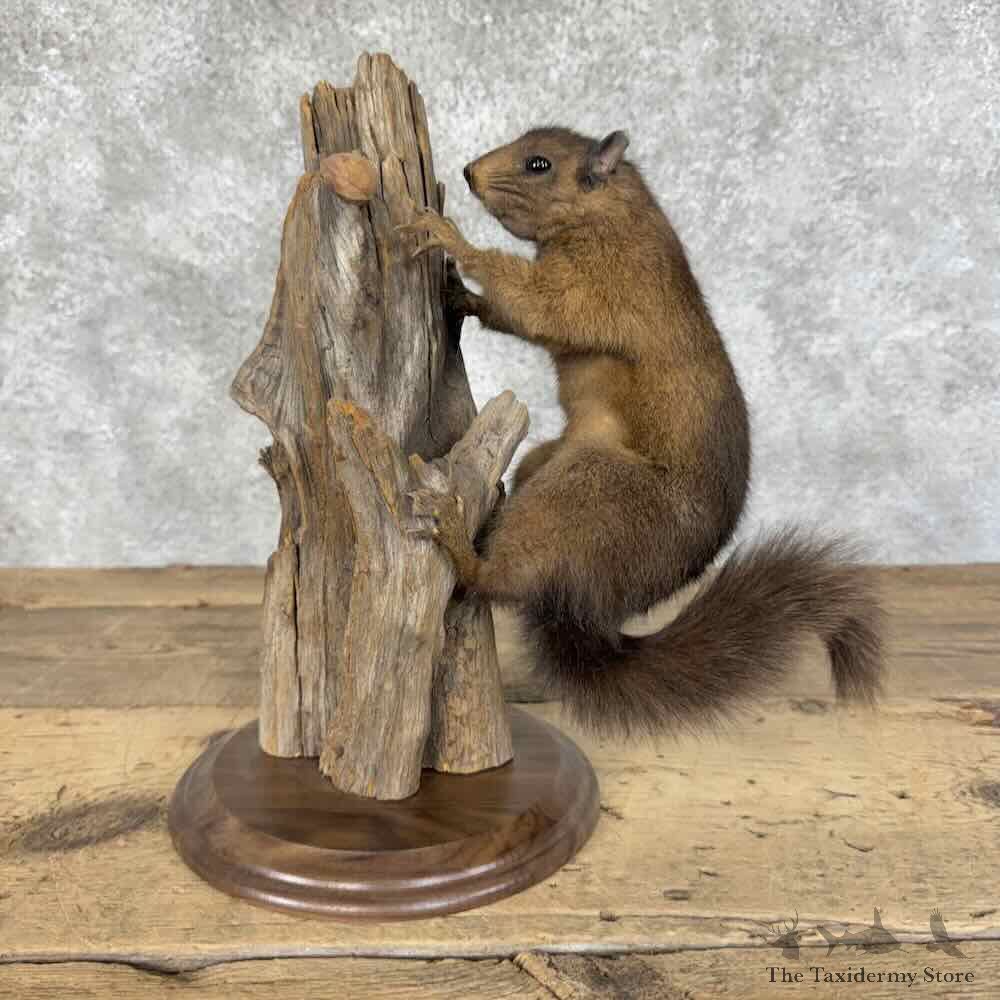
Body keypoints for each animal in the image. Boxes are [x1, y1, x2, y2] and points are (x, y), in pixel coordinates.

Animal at [397, 126, 883, 737]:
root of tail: (593, 606)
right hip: (547, 463)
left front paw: (449, 238)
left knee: (493, 582)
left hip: (591, 489)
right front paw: (460, 294)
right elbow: (523, 316)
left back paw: (456, 532)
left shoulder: (603, 283)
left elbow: (537, 303)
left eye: (539, 164)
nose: (468, 172)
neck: (611, 213)